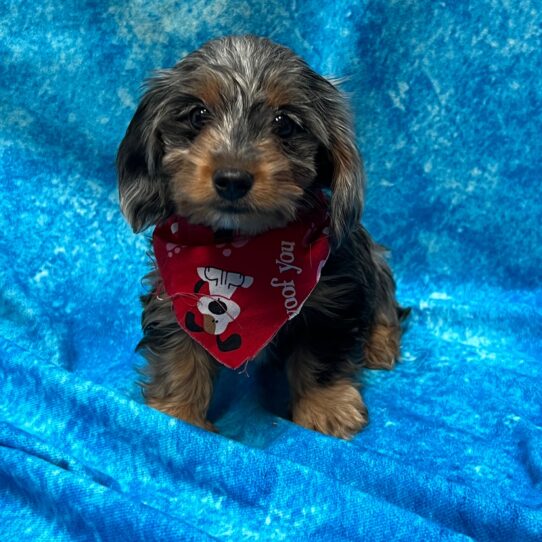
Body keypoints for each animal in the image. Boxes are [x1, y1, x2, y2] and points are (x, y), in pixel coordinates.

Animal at [118, 35, 408, 442]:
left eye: (284, 123)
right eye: (197, 115)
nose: (232, 179)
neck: (241, 246)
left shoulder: (338, 294)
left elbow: (321, 354)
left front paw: (326, 407)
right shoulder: (173, 293)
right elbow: (179, 352)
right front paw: (178, 413)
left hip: (372, 257)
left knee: (385, 303)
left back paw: (380, 345)